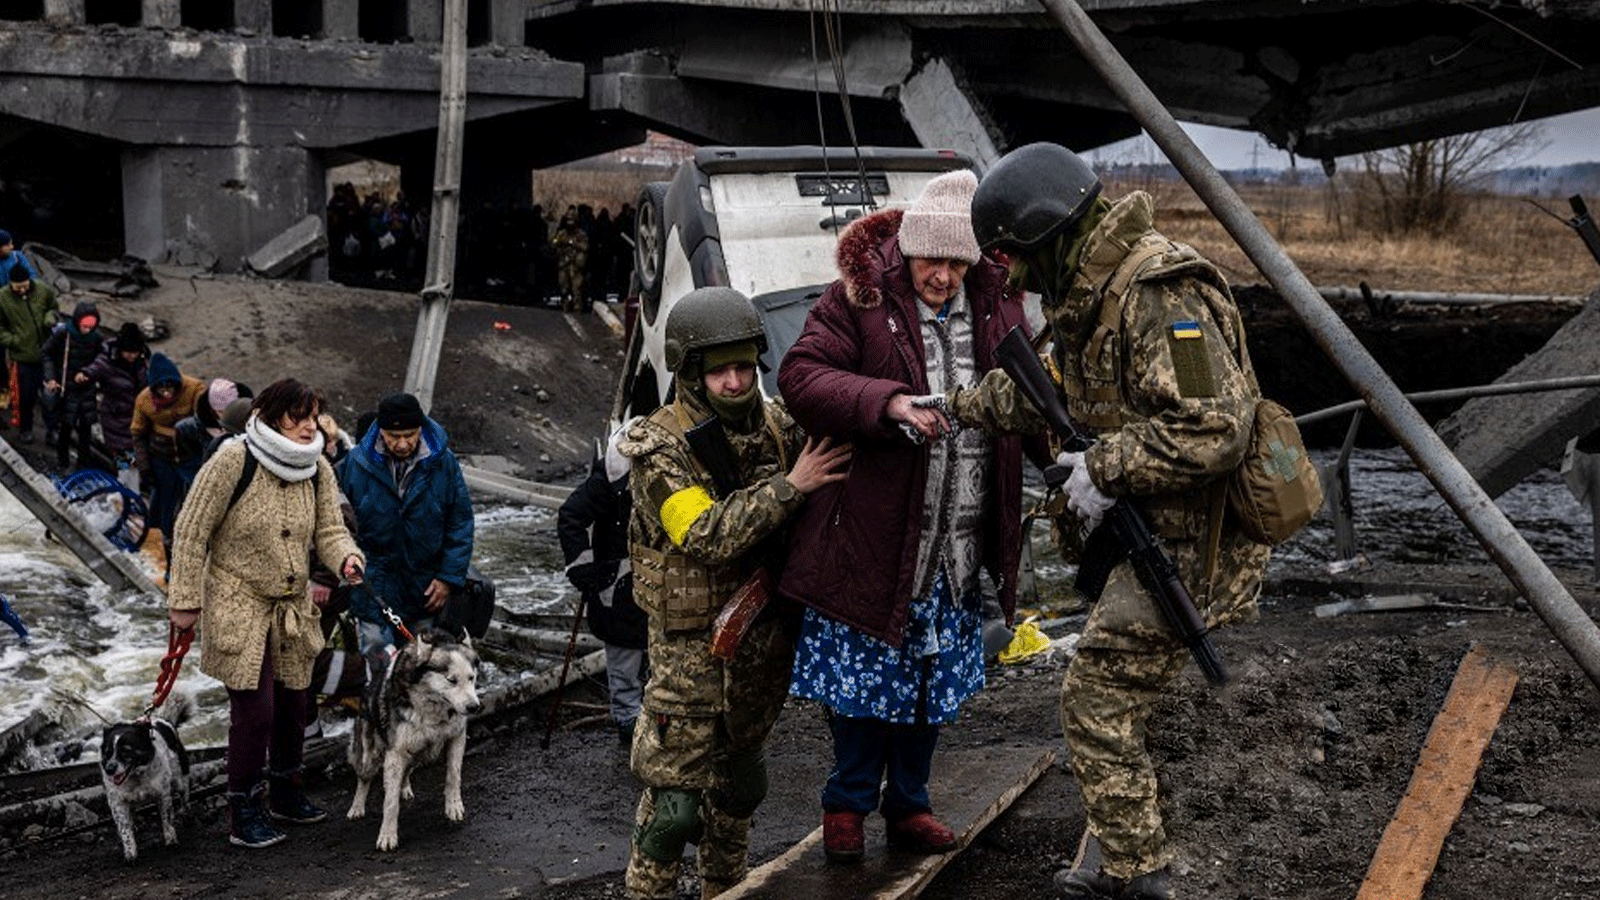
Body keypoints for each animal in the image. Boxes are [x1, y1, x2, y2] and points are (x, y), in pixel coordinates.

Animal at [100, 688, 192, 858]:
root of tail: (165, 721)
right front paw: (130, 853)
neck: (136, 777)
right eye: (107, 753)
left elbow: (167, 820)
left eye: (126, 751)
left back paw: (186, 814)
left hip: (179, 780)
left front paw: (171, 841)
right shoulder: (117, 802)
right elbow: (124, 828)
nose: (109, 769)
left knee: (185, 795)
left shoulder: (163, 795)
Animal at [345, 624, 480, 845]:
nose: (474, 707)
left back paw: (404, 787)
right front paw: (388, 835)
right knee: (363, 779)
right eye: (451, 680)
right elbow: (390, 802)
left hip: (418, 754)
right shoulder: (396, 752)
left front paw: (454, 806)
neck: (432, 703)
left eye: (471, 677)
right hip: (369, 756)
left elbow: (454, 775)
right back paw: (357, 807)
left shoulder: (457, 737)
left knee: (407, 770)